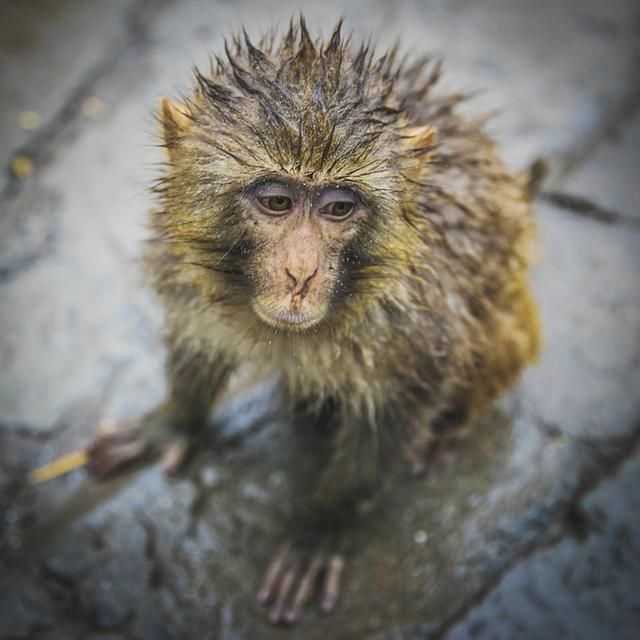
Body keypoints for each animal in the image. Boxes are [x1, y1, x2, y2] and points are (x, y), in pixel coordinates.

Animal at [86, 18, 540, 624]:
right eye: (277, 202)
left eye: (338, 209)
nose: (300, 274)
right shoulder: (185, 267)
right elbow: (198, 337)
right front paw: (174, 421)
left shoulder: (413, 317)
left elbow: (397, 408)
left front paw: (322, 525)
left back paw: (453, 422)